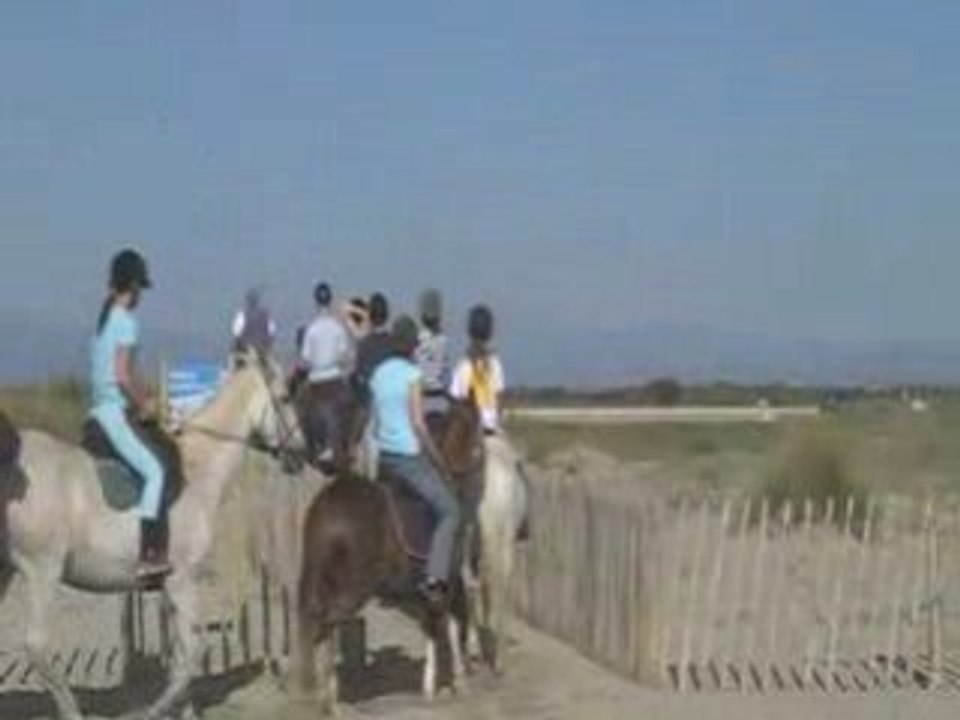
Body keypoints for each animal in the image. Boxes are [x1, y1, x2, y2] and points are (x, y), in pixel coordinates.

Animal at [0, 351, 304, 720]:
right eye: (285, 398)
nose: (300, 454)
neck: (199, 469)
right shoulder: (182, 578)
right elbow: (191, 653)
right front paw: (155, 708)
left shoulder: (169, 586)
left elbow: (180, 655)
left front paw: (183, 710)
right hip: (41, 571)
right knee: (37, 645)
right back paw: (72, 711)